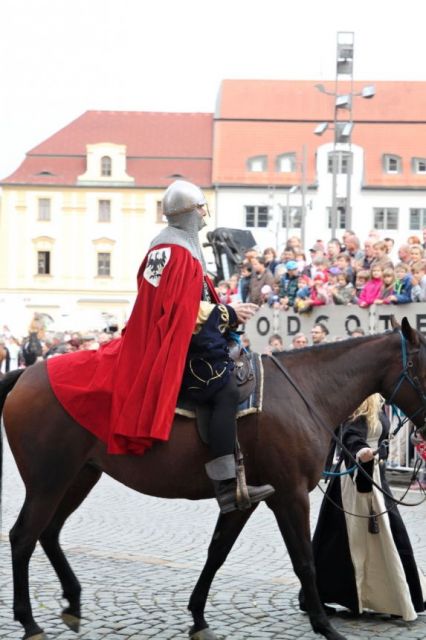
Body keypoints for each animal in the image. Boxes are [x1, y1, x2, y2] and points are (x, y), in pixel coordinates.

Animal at [0, 316, 426, 640]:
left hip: (78, 477)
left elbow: (217, 552)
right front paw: (324, 625)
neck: (305, 392)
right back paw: (29, 621)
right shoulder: (289, 495)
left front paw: (199, 618)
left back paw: (72, 601)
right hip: (48, 481)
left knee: (48, 532)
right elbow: (304, 560)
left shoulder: (246, 498)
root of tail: (28, 373)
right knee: (23, 537)